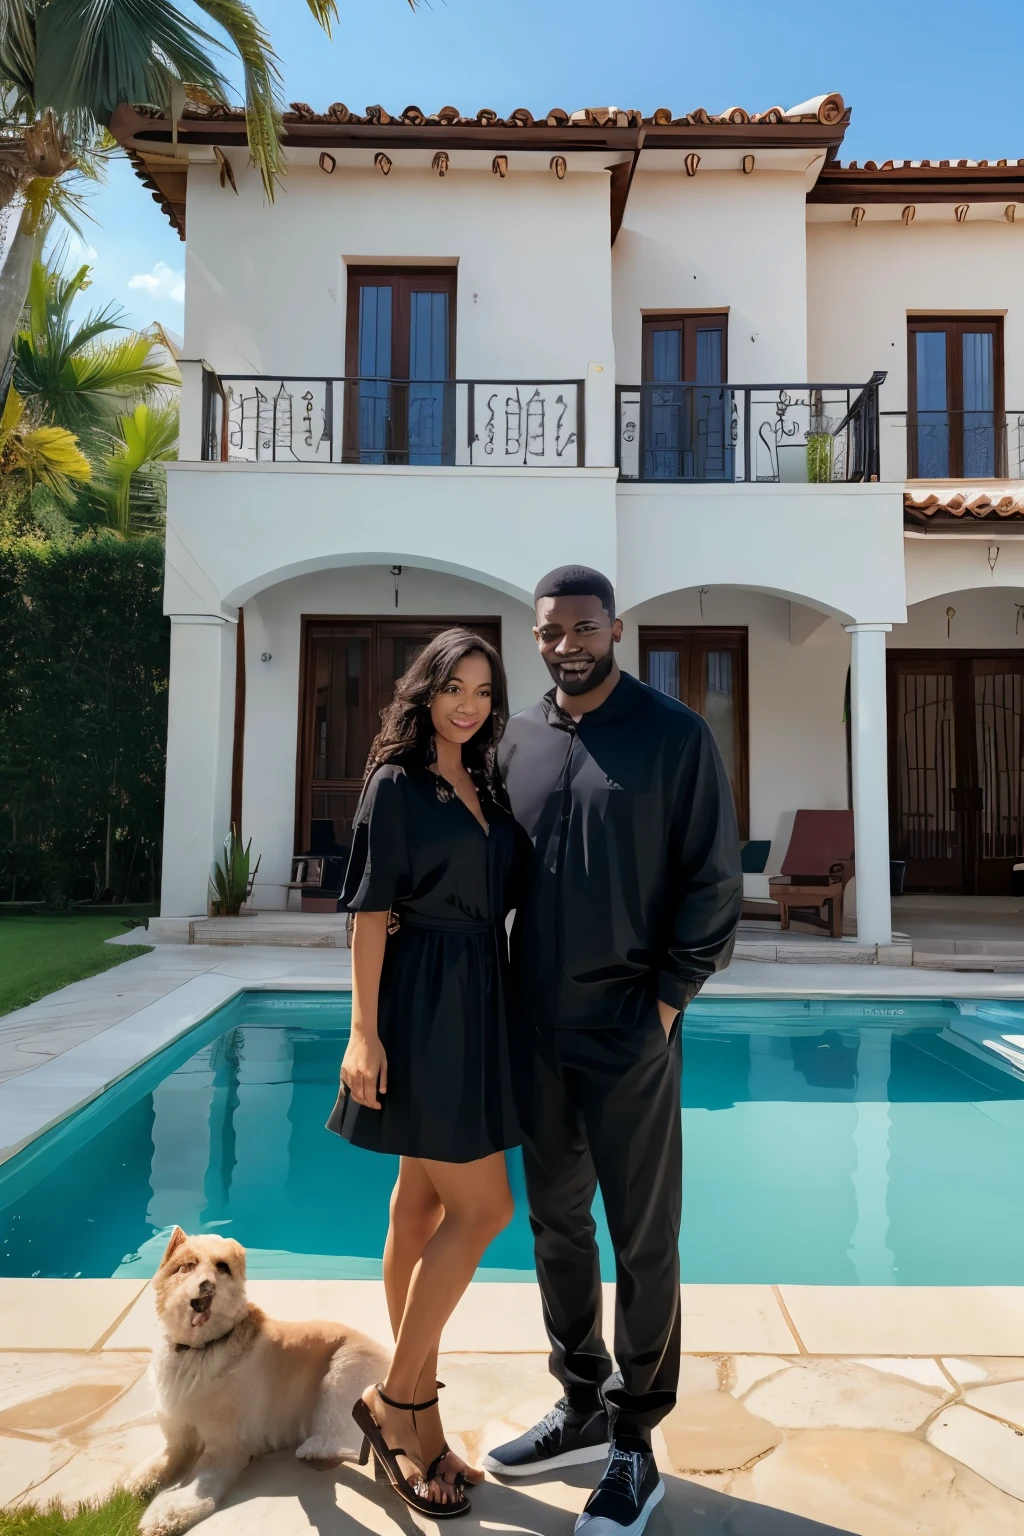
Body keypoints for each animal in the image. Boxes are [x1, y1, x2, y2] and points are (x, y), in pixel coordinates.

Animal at [124, 1222, 388, 1536]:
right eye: (187, 1266)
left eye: (222, 1267)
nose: (207, 1285)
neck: (200, 1349)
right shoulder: (178, 1434)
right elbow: (159, 1461)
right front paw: (137, 1484)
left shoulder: (225, 1447)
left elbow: (198, 1486)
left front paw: (165, 1514)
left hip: (340, 1374)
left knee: (343, 1436)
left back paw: (317, 1454)